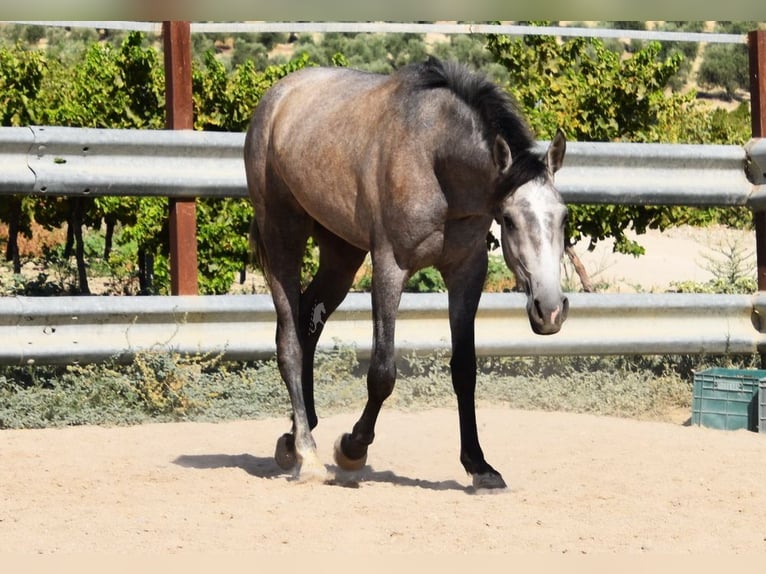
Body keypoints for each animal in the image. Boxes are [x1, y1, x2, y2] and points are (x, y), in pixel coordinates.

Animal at [248, 57, 568, 490]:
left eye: (563, 216)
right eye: (509, 220)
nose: (550, 311)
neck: (434, 158)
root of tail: (277, 98)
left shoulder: (467, 272)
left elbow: (464, 369)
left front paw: (479, 465)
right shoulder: (390, 268)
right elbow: (382, 372)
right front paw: (352, 448)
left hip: (341, 254)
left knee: (308, 323)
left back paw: (294, 436)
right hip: (283, 237)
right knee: (289, 342)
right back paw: (308, 455)